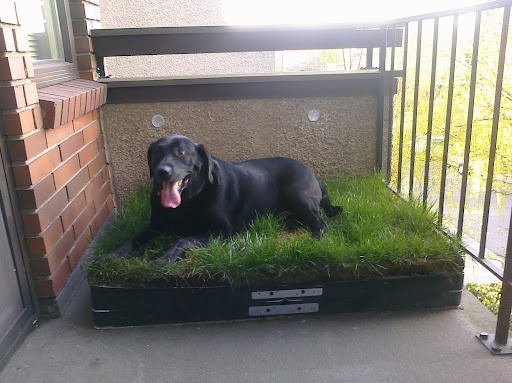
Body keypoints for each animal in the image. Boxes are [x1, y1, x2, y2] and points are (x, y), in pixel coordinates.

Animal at [114, 134, 342, 260]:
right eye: (157, 153)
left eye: (181, 152)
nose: (162, 171)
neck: (187, 202)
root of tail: (313, 174)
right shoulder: (155, 226)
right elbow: (134, 238)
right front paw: (115, 254)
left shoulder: (223, 232)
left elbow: (184, 239)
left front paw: (165, 257)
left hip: (298, 195)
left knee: (323, 222)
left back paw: (315, 236)